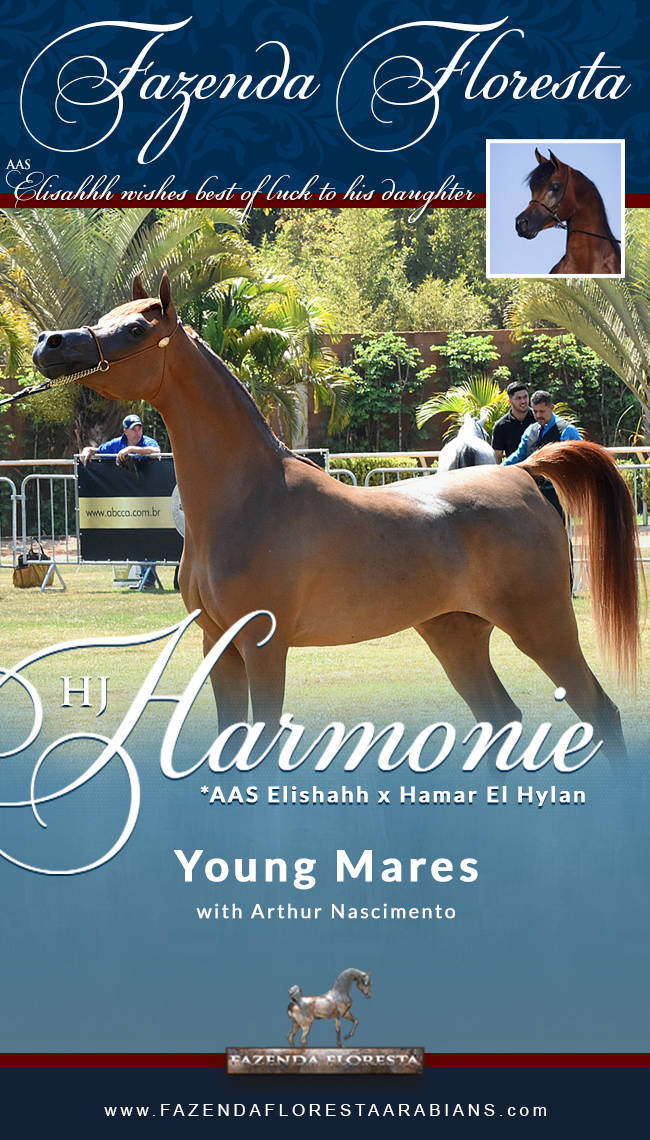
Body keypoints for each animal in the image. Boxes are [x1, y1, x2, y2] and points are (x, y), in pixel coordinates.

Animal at [32, 274, 640, 759]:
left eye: (137, 328)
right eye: (105, 319)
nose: (48, 344)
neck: (250, 498)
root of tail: (524, 474)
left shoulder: (264, 647)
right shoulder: (218, 647)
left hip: (543, 627)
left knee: (600, 713)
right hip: (455, 636)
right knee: (501, 718)